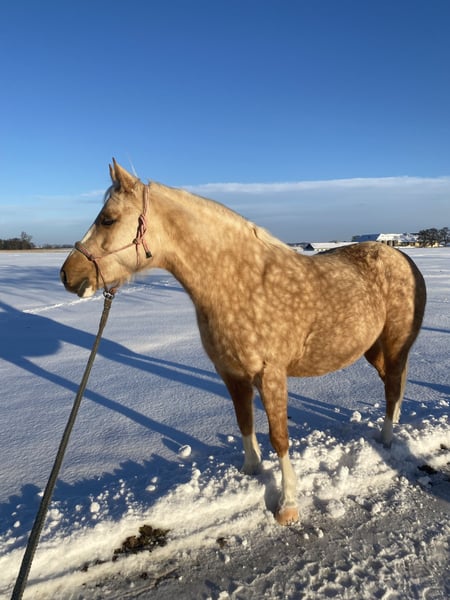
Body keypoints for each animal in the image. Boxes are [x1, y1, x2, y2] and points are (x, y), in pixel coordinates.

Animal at [60, 160, 426, 525]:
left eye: (108, 219)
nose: (67, 275)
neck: (239, 283)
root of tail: (403, 258)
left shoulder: (271, 375)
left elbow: (279, 437)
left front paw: (288, 503)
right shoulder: (232, 374)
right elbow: (244, 422)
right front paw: (251, 470)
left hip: (393, 346)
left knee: (392, 388)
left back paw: (387, 439)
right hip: (373, 350)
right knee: (394, 384)